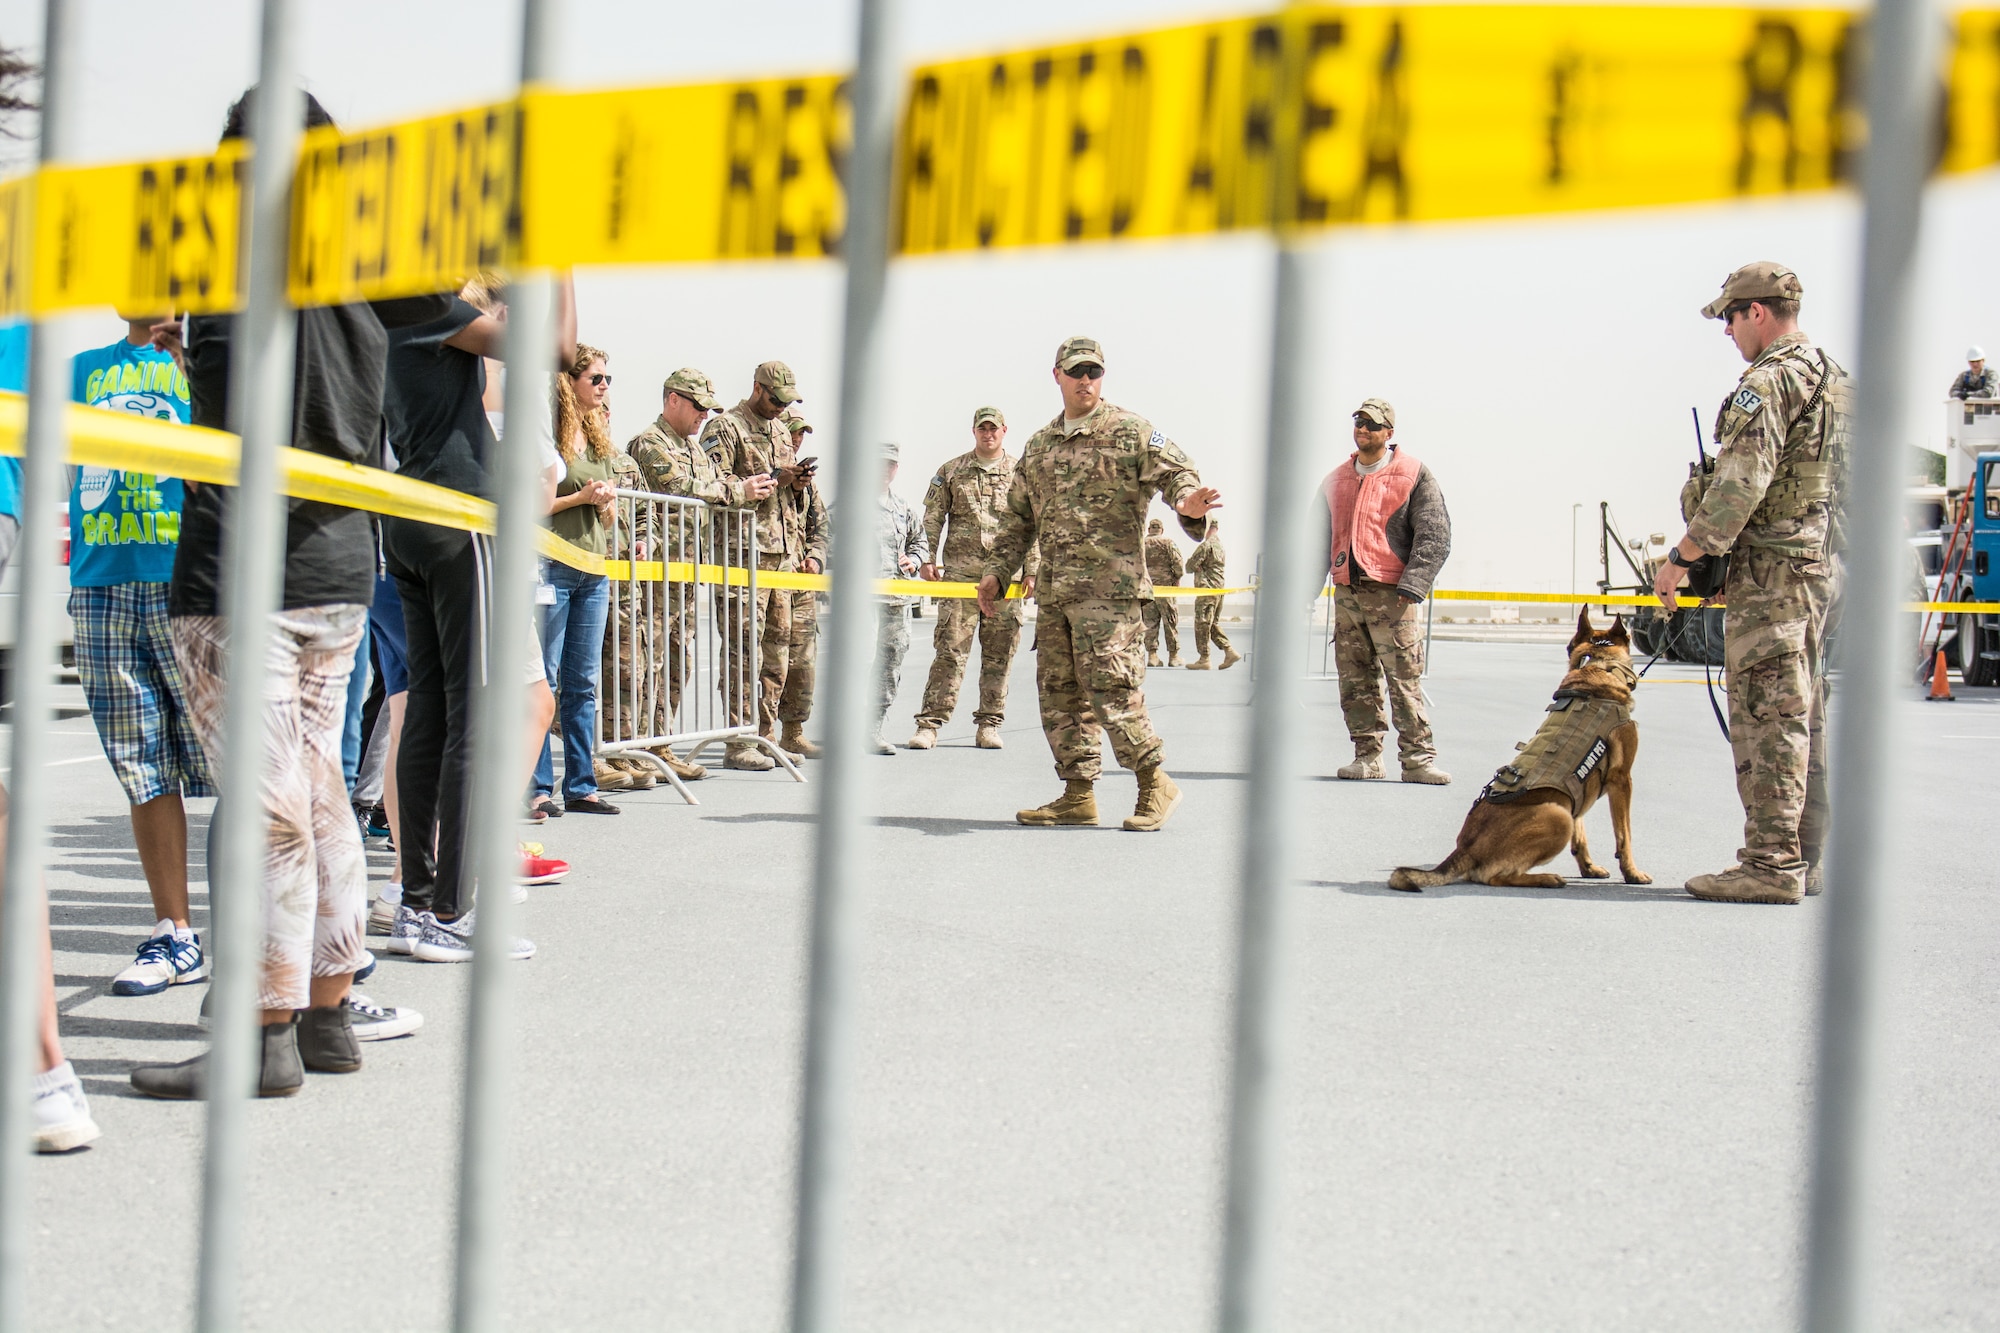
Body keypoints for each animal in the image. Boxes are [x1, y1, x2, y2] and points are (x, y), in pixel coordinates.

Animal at [1384, 608, 1648, 880]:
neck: (1599, 668)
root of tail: (1464, 849)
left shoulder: (1575, 792)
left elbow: (1580, 834)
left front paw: (1589, 867)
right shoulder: (1622, 780)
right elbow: (1624, 835)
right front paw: (1632, 873)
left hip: (1562, 808)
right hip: (1557, 816)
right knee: (1495, 876)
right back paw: (1547, 879)